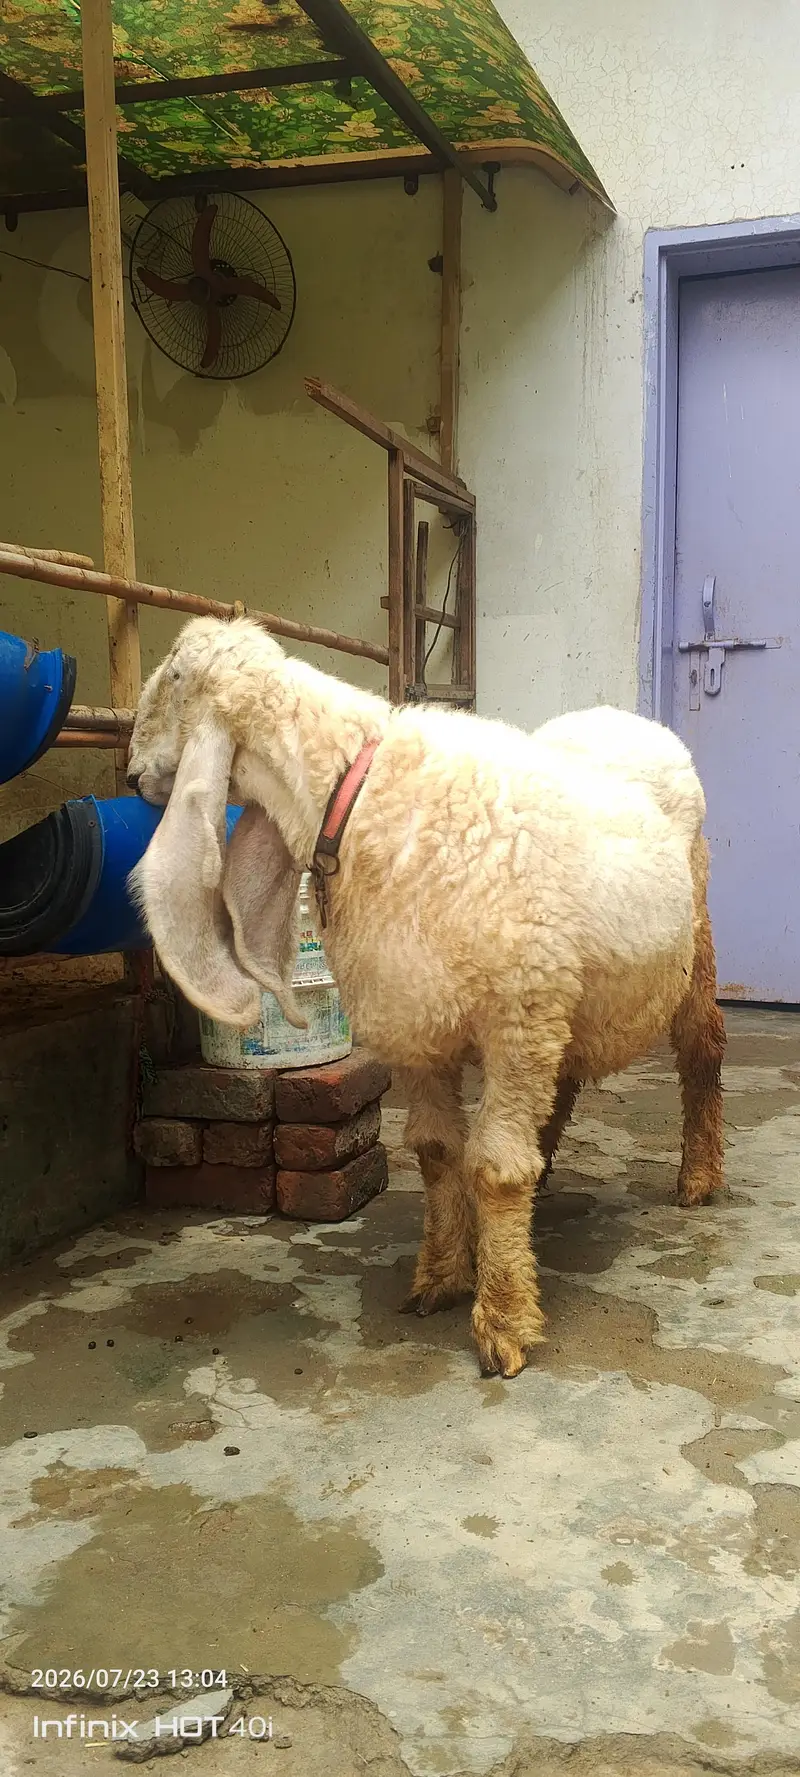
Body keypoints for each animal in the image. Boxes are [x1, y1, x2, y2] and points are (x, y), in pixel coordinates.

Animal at [127, 615, 726, 1379]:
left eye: (172, 680)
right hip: (562, 993)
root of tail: (621, 716)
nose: (130, 773)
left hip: (691, 935)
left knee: (704, 1047)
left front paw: (503, 1316)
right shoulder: (418, 1023)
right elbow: (440, 1151)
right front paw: (442, 1275)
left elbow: (494, 1167)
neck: (359, 798)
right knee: (559, 1083)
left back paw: (699, 1176)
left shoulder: (516, 1012)